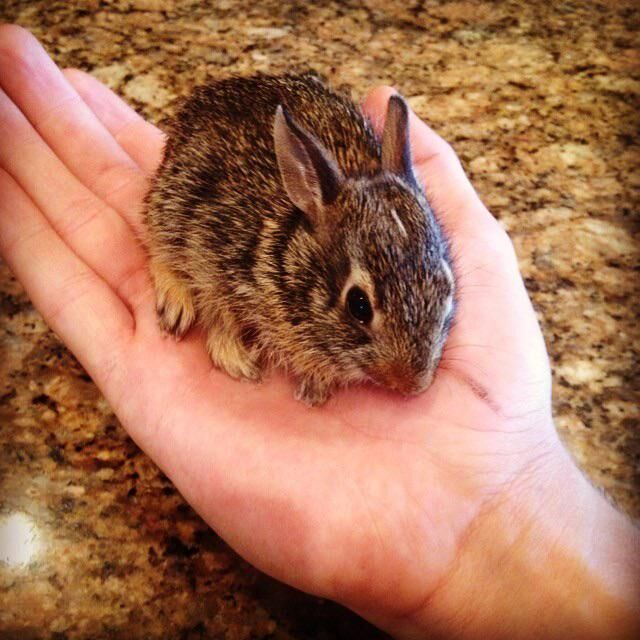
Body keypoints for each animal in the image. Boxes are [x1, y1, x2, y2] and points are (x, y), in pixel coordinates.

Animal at [144, 72, 456, 405]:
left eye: (446, 289)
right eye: (358, 305)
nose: (413, 385)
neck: (289, 250)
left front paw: (315, 387)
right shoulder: (210, 252)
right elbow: (220, 314)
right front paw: (237, 362)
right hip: (170, 199)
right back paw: (175, 306)